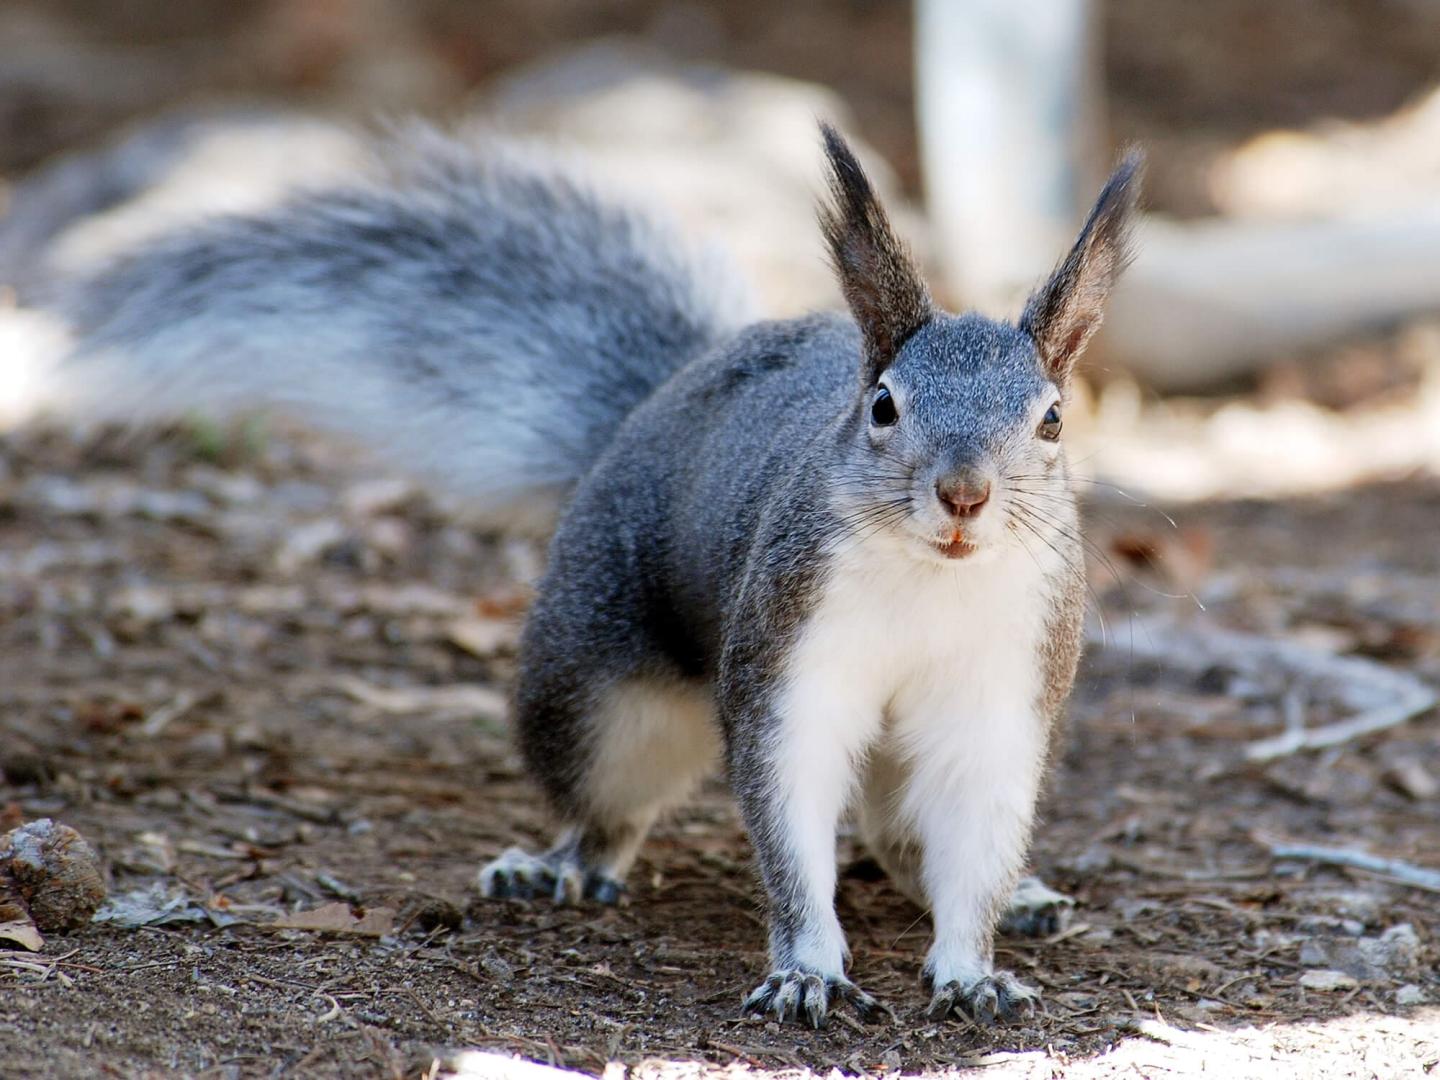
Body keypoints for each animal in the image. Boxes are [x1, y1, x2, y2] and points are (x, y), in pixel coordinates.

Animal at [12, 120, 1140, 1027]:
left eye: (1051, 420)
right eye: (883, 406)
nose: (964, 495)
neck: (932, 582)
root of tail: (659, 403)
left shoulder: (1001, 694)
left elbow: (974, 837)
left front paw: (972, 967)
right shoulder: (788, 668)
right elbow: (790, 825)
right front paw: (809, 970)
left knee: (904, 836)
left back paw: (1018, 898)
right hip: (596, 693)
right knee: (607, 804)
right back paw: (558, 867)